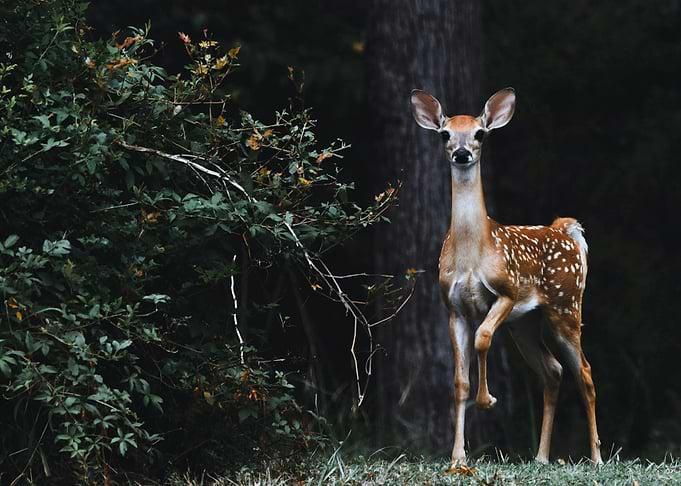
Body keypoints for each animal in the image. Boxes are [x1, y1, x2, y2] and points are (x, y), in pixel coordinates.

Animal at [410, 88, 603, 467]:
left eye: (480, 133)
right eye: (445, 134)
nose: (462, 153)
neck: (473, 253)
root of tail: (566, 230)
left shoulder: (507, 292)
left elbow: (483, 338)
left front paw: (487, 400)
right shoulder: (453, 308)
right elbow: (459, 382)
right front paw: (458, 458)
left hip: (566, 306)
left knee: (585, 372)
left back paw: (597, 457)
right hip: (525, 323)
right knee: (553, 371)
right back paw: (541, 457)